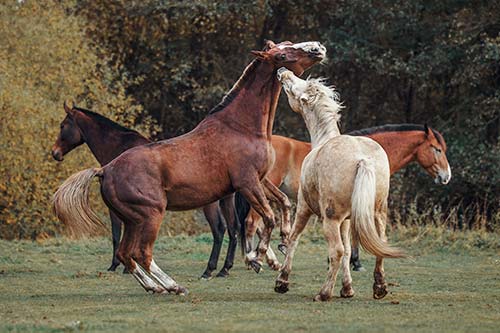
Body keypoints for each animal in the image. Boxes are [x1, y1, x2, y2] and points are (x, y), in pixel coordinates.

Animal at [50, 102, 240, 278]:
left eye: (62, 125)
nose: (55, 153)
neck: (117, 148)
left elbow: (116, 235)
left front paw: (117, 265)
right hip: (225, 200)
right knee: (232, 229)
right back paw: (224, 269)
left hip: (210, 204)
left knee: (219, 230)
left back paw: (210, 270)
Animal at [274, 68, 406, 302]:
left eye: (296, 86)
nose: (283, 71)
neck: (323, 140)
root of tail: (362, 159)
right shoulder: (346, 220)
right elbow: (347, 250)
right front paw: (347, 289)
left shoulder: (304, 208)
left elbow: (293, 240)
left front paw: (282, 281)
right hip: (377, 214)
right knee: (378, 244)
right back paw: (379, 287)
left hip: (330, 219)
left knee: (335, 250)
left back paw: (323, 293)